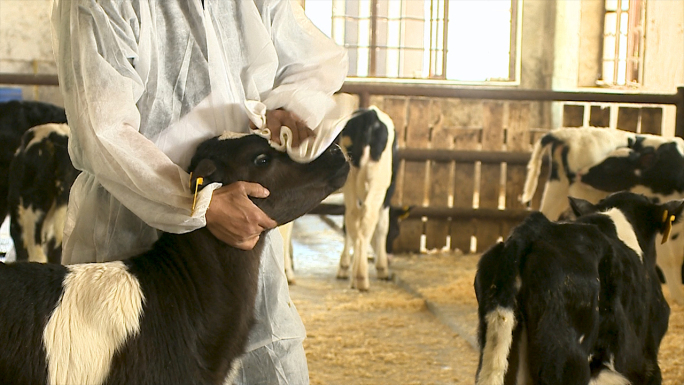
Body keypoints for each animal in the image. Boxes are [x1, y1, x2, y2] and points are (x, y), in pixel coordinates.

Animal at [336, 106, 396, 290]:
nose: (391, 257)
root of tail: (370, 116)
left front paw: (345, 266)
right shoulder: (387, 196)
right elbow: (382, 226)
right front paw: (382, 267)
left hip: (349, 181)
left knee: (352, 218)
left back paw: (356, 275)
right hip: (379, 183)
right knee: (368, 219)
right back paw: (362, 278)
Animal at [520, 127, 684, 304]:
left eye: (610, 166)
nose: (582, 174)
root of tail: (565, 133)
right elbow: (669, 258)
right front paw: (678, 297)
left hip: (555, 192)